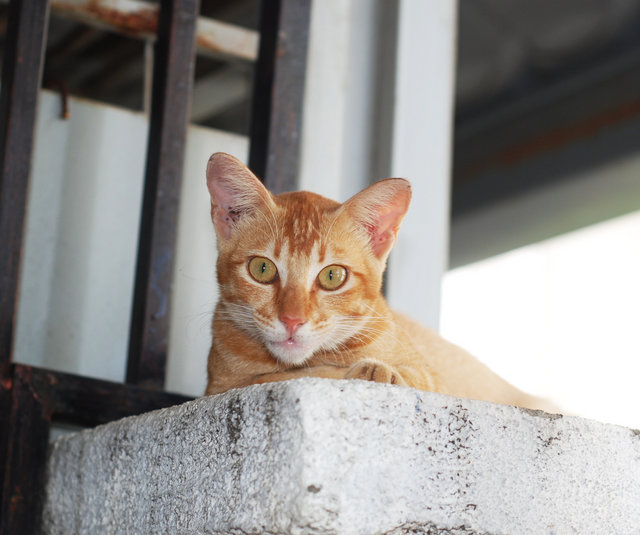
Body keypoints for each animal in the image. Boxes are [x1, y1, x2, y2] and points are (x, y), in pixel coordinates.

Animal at [206, 153, 556, 412]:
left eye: (332, 276)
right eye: (262, 269)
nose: (292, 320)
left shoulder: (436, 381)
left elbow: (414, 376)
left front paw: (378, 370)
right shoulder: (219, 386)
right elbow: (282, 376)